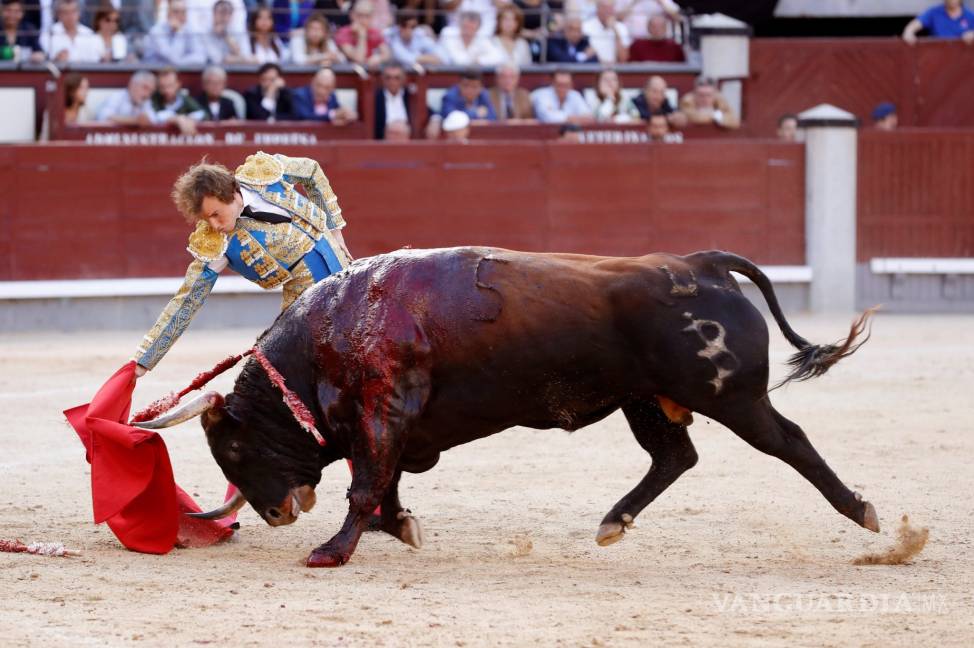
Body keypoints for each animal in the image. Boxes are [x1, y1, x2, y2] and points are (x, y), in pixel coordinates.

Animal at [156, 248, 880, 568]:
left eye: (235, 447)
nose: (276, 515)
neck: (329, 332)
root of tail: (703, 264)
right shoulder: (392, 423)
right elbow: (382, 480)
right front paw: (400, 526)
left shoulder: (383, 409)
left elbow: (366, 483)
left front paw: (332, 551)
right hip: (646, 402)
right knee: (676, 455)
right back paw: (612, 522)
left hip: (732, 396)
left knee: (790, 442)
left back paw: (866, 514)